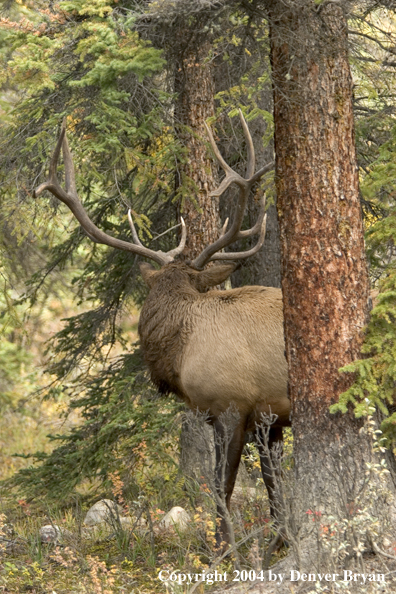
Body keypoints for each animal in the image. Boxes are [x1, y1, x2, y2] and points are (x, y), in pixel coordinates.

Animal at [34, 111, 290, 544]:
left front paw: (223, 547)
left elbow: (222, 485)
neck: (180, 355)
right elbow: (274, 485)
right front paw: (280, 540)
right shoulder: (265, 418)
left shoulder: (230, 404)